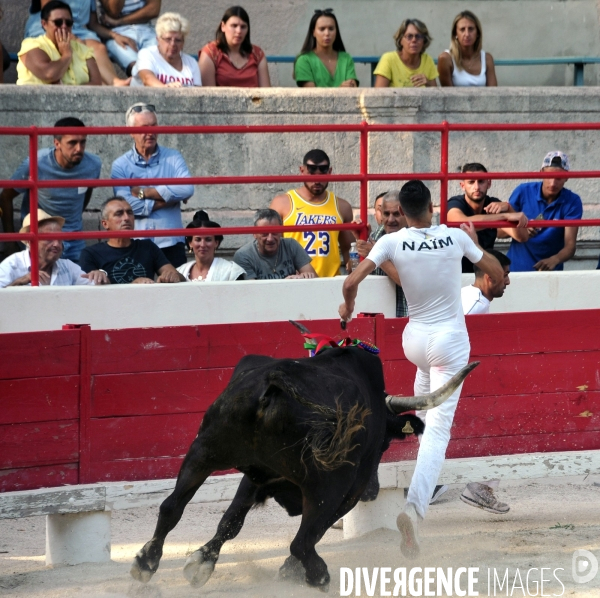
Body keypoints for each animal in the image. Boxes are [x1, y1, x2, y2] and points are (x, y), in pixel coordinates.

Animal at [131, 346, 478, 592]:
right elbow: (313, 533)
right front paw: (291, 569)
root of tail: (274, 387)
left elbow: (231, 521)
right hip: (330, 485)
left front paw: (202, 562)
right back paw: (318, 576)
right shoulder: (347, 493)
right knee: (301, 540)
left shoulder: (256, 478)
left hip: (203, 451)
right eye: (383, 445)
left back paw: (146, 563)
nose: (373, 491)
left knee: (171, 507)